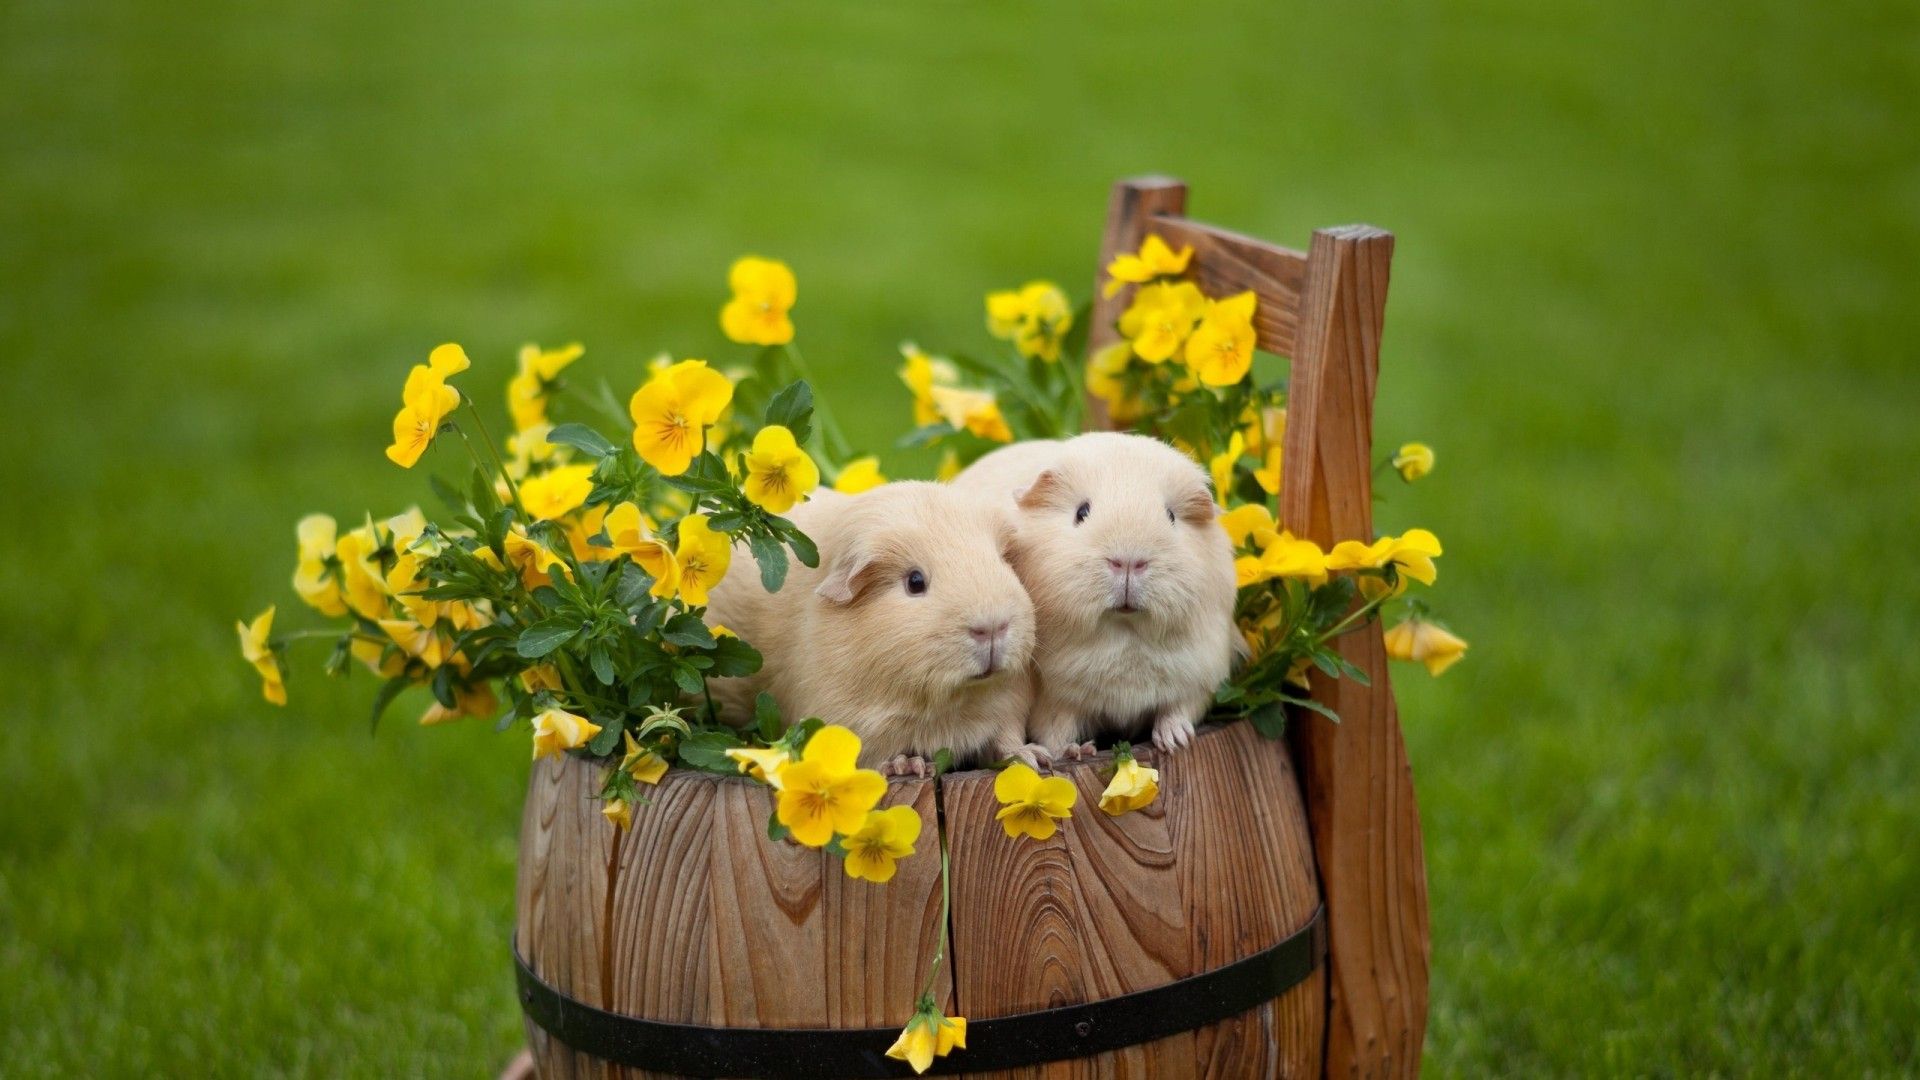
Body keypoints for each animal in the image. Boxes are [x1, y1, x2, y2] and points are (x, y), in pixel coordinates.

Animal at [701, 482, 1046, 773]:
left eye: (1002, 563)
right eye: (915, 582)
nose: (992, 628)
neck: (953, 707)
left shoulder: (1008, 705)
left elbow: (1006, 740)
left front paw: (1034, 759)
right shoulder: (855, 724)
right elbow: (879, 754)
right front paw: (908, 766)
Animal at [951, 432, 1238, 758]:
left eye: (1171, 516)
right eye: (1082, 512)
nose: (1128, 562)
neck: (1124, 636)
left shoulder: (1199, 674)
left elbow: (1177, 710)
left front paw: (1175, 741)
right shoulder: (1056, 700)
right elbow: (1056, 732)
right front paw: (1074, 752)